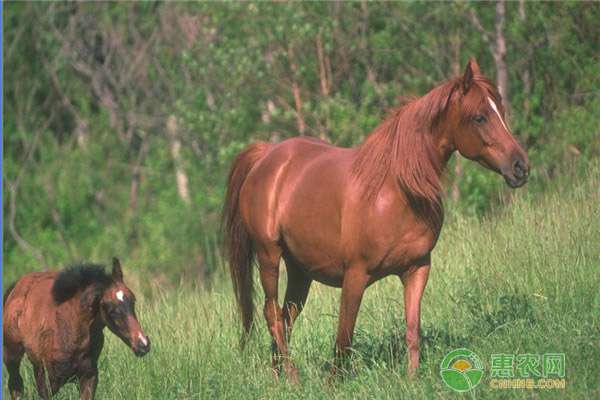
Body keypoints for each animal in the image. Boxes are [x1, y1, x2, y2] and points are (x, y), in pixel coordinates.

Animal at [3, 258, 149, 398]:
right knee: (15, 386)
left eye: (133, 301)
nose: (143, 344)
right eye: (111, 309)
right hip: (12, 355)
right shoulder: (47, 379)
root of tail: (16, 287)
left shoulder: (88, 376)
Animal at [223, 57, 528, 380]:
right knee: (271, 313)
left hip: (300, 270)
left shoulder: (417, 269)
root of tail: (266, 155)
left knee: (286, 316)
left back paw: (278, 375)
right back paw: (292, 378)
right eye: (480, 117)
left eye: (501, 111)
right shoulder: (355, 276)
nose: (520, 167)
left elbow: (412, 330)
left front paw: (411, 379)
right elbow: (344, 337)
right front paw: (334, 383)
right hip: (269, 255)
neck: (396, 190)